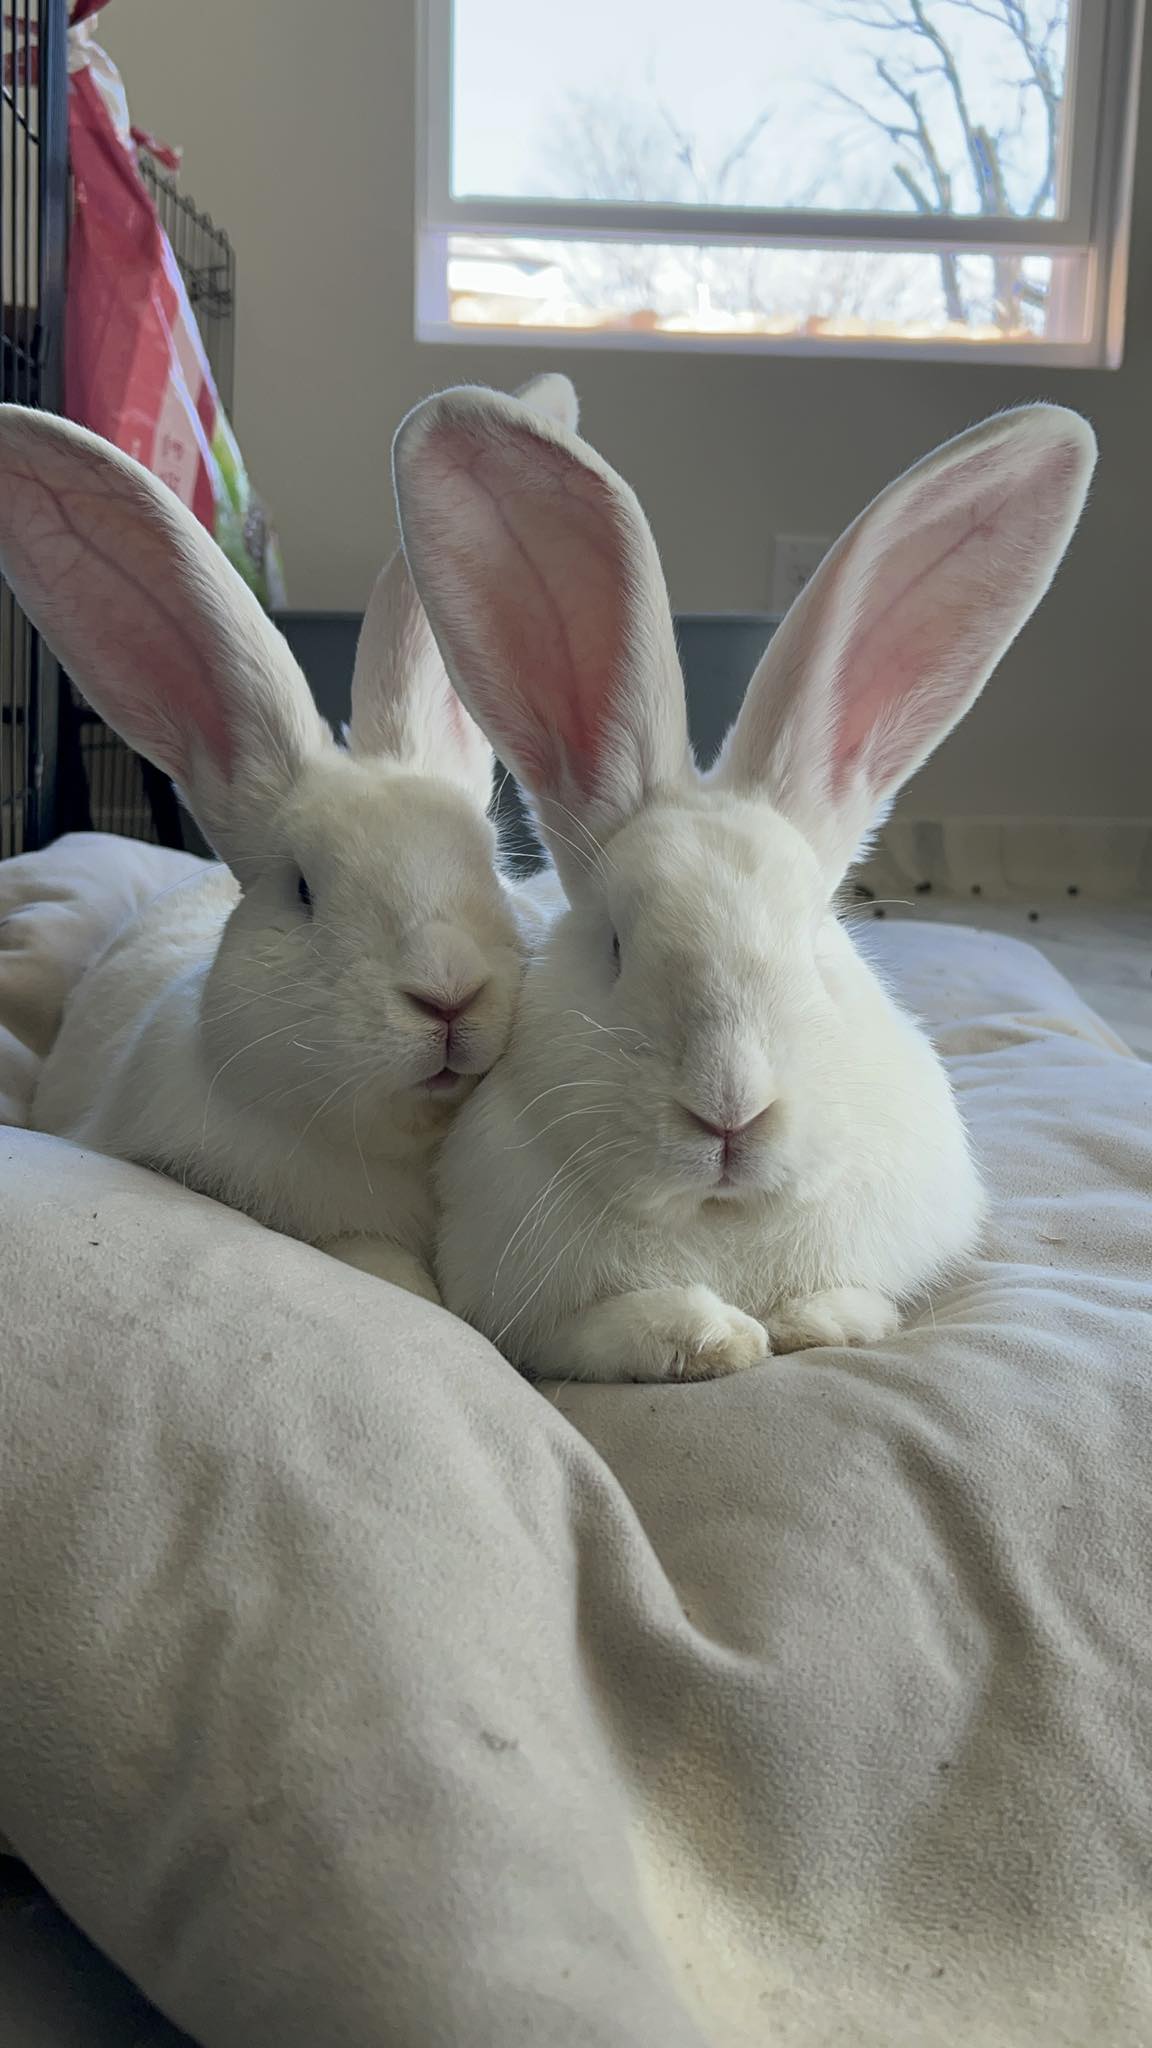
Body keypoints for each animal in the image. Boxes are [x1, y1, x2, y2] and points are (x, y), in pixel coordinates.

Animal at [392, 388, 1096, 1376]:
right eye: (615, 945)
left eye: (818, 942)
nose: (730, 1114)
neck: (722, 1218)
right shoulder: (536, 1317)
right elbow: (610, 1329)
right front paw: (712, 1336)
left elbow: (861, 1299)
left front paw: (818, 1323)